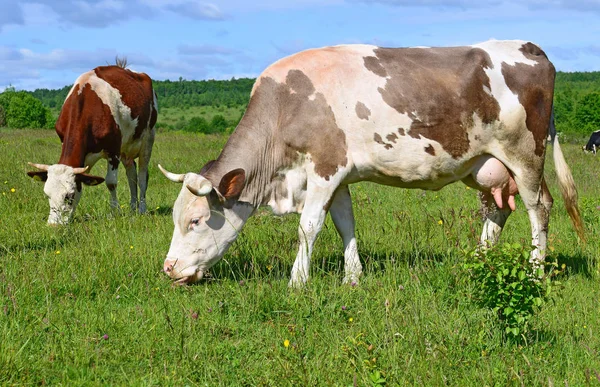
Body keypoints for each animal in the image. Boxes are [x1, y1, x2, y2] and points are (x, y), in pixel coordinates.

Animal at [27, 63, 157, 226]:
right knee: (131, 174)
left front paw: (114, 212)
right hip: (126, 148)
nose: (53, 225)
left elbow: (111, 182)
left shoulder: (114, 150)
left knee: (141, 176)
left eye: (69, 196)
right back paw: (133, 208)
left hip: (148, 139)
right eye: (47, 194)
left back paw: (142, 209)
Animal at [157, 40, 584, 288]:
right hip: (485, 165)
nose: (169, 268)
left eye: (195, 220)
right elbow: (344, 223)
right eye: (176, 217)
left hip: (525, 155)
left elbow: (308, 227)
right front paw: (353, 277)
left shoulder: (325, 168)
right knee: (496, 211)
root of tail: (528, 47)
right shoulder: (340, 176)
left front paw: (297, 282)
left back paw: (535, 272)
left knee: (539, 208)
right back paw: (480, 265)